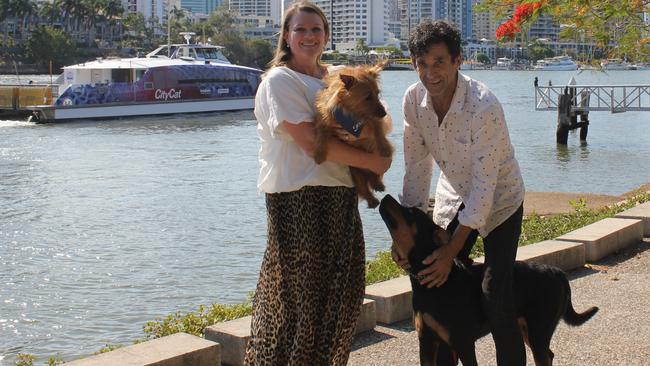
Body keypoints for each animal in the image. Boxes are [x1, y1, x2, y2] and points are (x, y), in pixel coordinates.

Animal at [312, 63, 392, 209]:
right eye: (367, 96)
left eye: (377, 94)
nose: (384, 113)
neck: (352, 112)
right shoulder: (324, 118)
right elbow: (321, 132)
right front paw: (319, 154)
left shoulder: (373, 119)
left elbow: (378, 130)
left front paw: (384, 148)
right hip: (355, 174)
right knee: (364, 189)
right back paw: (372, 200)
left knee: (375, 177)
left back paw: (378, 185)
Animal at [374, 196, 596, 366]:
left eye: (411, 212)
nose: (386, 197)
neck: (430, 286)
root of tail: (558, 273)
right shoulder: (428, 341)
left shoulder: (463, 342)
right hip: (526, 328)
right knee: (549, 354)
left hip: (537, 329)